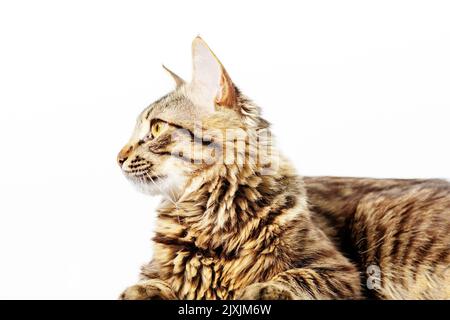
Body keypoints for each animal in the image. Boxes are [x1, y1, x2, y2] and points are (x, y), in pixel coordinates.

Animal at [117, 37, 450, 300]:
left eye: (156, 128)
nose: (117, 158)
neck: (211, 215)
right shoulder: (154, 268)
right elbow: (149, 283)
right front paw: (143, 292)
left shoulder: (341, 271)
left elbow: (296, 276)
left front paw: (264, 289)